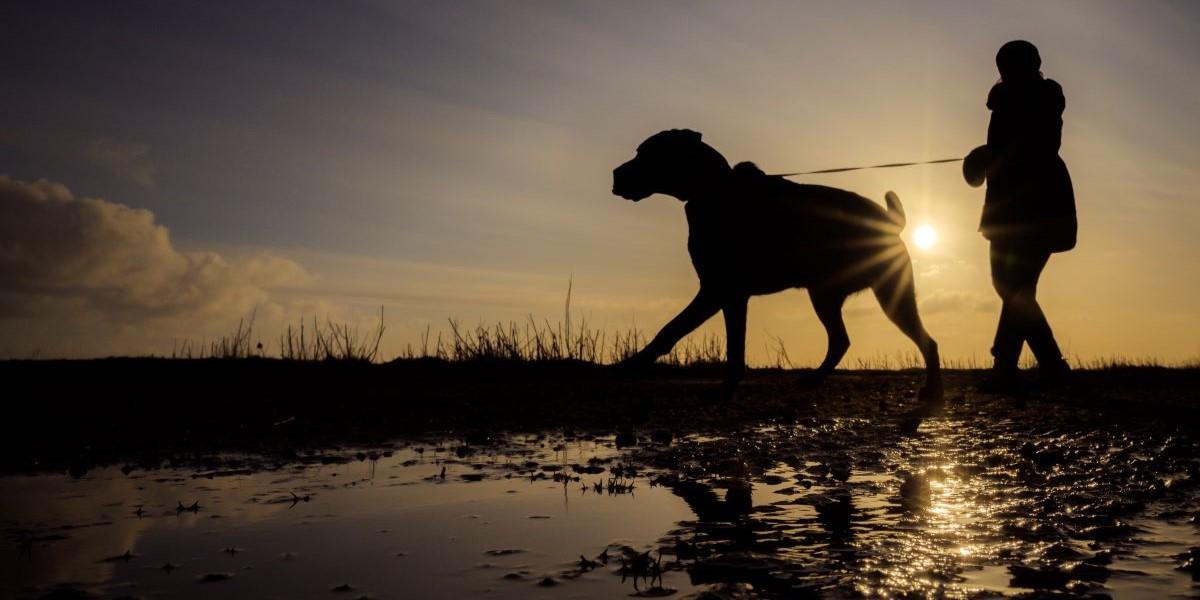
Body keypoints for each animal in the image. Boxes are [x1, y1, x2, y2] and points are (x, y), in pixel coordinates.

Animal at [614, 127, 940, 398]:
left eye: (645, 153)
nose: (615, 173)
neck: (714, 189)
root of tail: (890, 223)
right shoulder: (730, 295)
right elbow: (729, 343)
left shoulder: (718, 290)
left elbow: (673, 330)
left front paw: (631, 365)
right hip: (832, 294)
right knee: (843, 340)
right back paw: (816, 379)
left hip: (879, 292)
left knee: (922, 341)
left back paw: (932, 389)